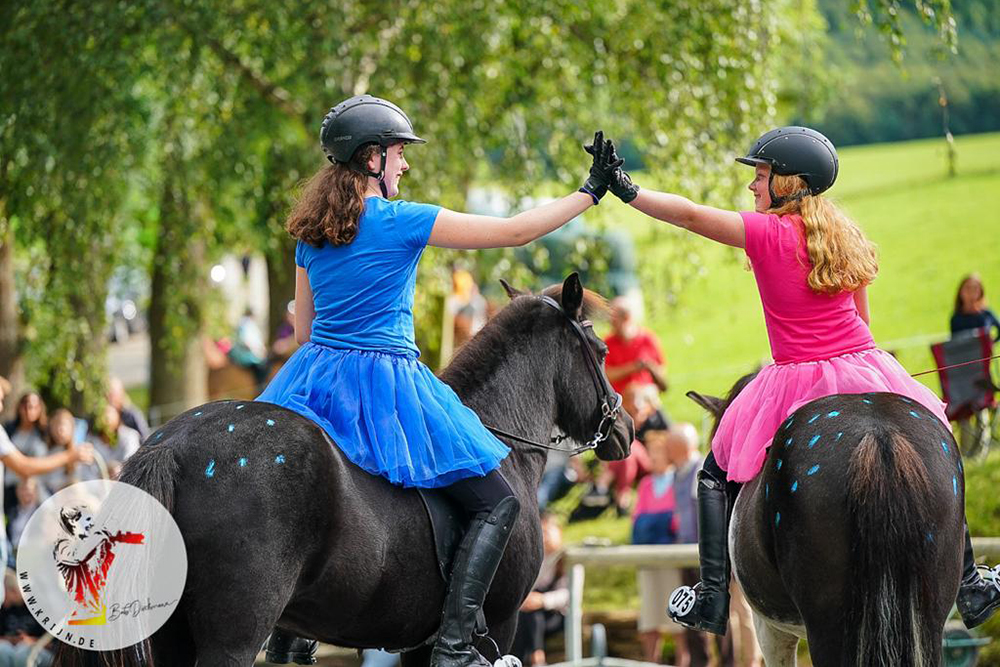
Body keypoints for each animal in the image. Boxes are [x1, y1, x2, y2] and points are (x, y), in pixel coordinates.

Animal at [54, 272, 628, 667]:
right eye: (601, 350)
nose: (623, 430)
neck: (498, 439)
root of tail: (173, 444)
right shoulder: (501, 624)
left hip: (173, 634)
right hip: (233, 635)